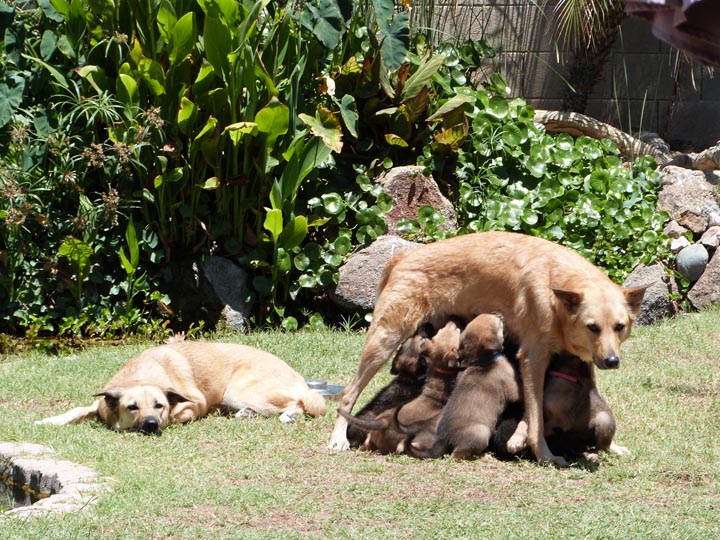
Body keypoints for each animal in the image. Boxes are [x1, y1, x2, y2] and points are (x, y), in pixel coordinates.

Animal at [36, 342, 324, 434]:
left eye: (159, 406)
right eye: (132, 407)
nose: (151, 424)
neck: (140, 376)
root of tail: (298, 377)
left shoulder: (195, 402)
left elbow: (180, 414)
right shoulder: (100, 402)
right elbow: (76, 410)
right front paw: (48, 421)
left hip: (240, 390)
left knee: (298, 403)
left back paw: (288, 415)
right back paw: (248, 414)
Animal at [408, 312, 520, 460]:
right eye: (498, 324)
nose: (499, 314)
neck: (482, 360)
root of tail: (444, 438)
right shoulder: (512, 388)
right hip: (481, 434)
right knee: (457, 454)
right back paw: (484, 456)